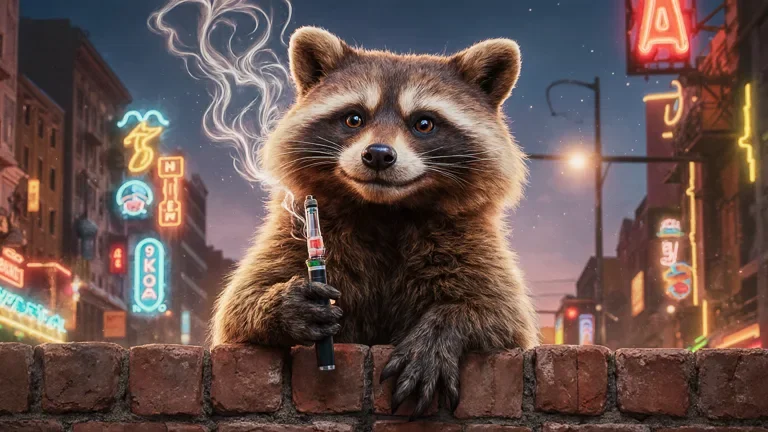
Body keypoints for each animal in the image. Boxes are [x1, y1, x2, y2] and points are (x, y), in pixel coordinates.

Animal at [211, 26, 539, 417]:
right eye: (354, 118)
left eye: (424, 123)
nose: (379, 154)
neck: (385, 210)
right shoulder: (295, 233)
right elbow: (238, 308)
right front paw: (281, 304)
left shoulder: (470, 239)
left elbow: (503, 314)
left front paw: (444, 325)